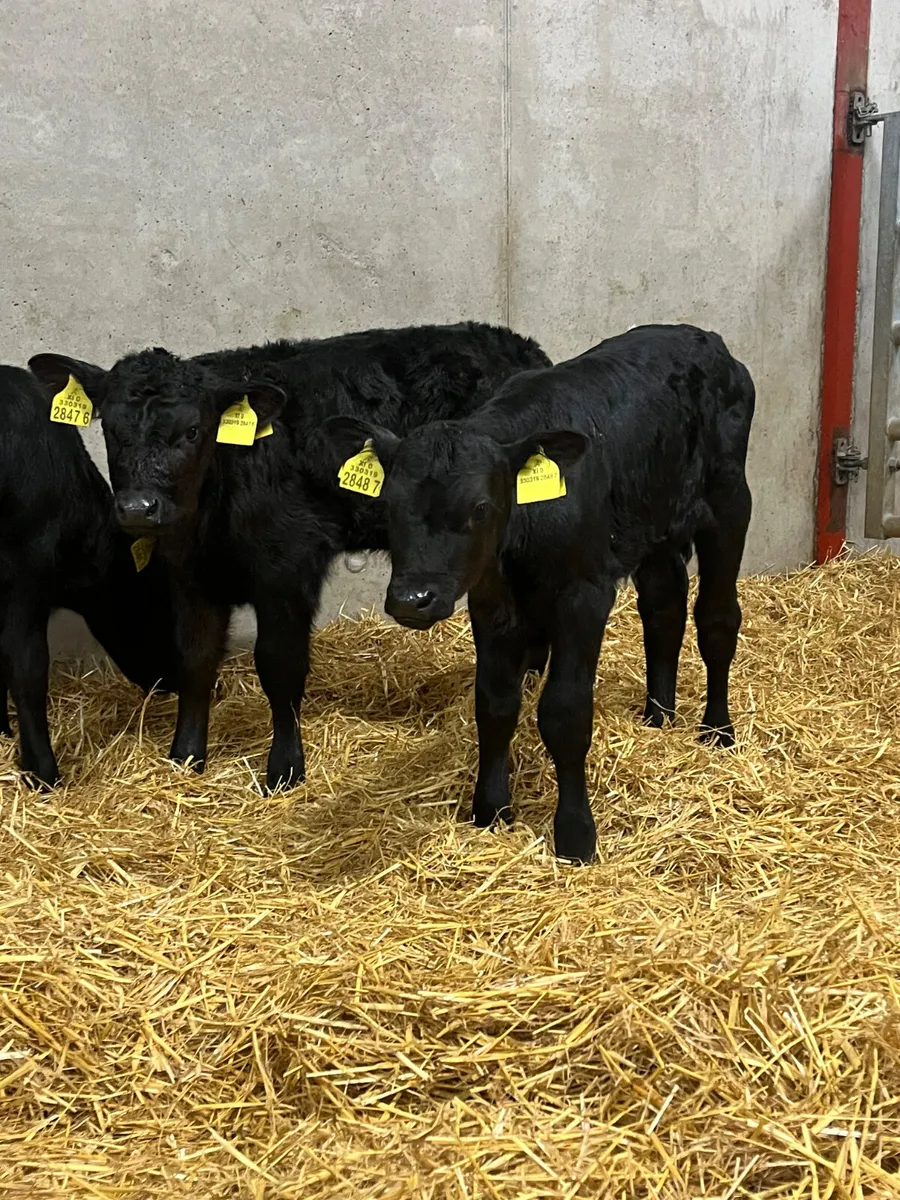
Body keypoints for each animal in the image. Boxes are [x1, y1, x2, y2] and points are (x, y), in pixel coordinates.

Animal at [29, 322, 551, 792]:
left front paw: (284, 769)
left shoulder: (288, 569)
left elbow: (279, 666)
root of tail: (518, 344)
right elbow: (195, 659)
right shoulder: (191, 576)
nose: (138, 507)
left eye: (193, 430)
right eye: (110, 430)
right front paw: (185, 757)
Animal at [322, 324, 755, 863]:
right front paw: (489, 812)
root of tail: (703, 337)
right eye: (388, 505)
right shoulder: (491, 601)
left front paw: (575, 836)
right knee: (664, 607)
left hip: (729, 501)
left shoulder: (583, 597)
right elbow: (494, 704)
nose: (412, 599)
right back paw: (658, 716)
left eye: (481, 507)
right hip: (652, 522)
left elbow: (564, 712)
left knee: (717, 617)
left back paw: (717, 731)